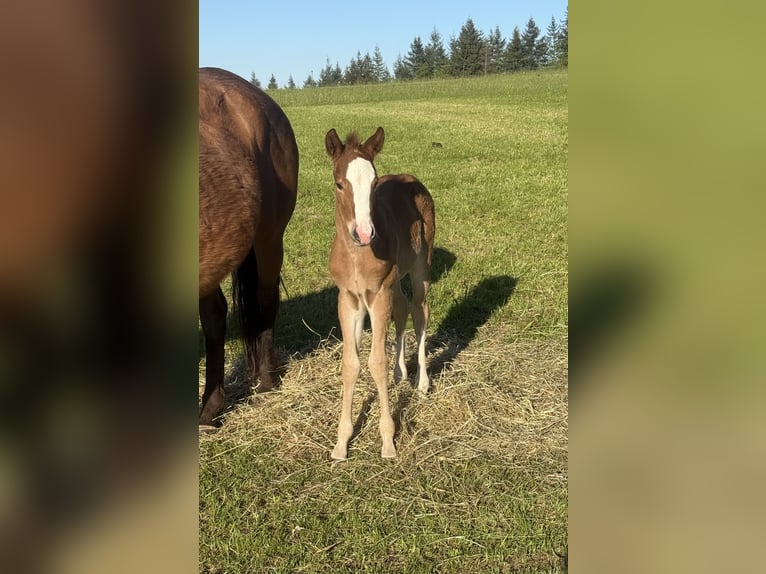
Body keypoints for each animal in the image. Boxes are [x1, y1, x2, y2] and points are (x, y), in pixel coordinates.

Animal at [325, 126, 435, 459]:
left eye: (374, 183)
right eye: (339, 183)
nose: (364, 232)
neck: (357, 255)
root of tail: (411, 178)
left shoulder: (378, 295)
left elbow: (376, 363)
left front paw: (387, 441)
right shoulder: (348, 299)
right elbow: (351, 364)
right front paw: (341, 443)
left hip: (420, 266)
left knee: (419, 311)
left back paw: (421, 382)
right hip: (394, 280)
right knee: (402, 308)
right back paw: (402, 374)